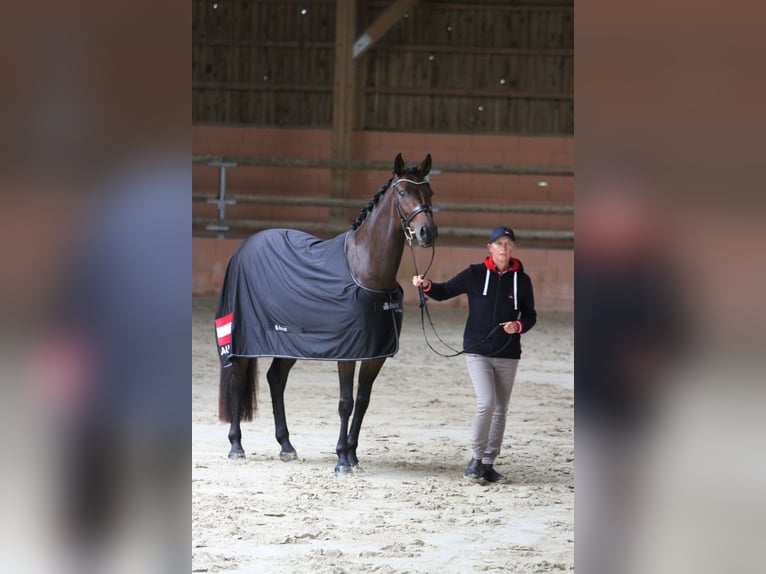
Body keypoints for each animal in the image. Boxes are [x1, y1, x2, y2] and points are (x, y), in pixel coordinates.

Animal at [216, 152, 438, 472]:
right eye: (403, 193)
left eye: (429, 192)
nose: (427, 233)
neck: (364, 270)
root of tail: (243, 248)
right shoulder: (346, 352)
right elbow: (345, 402)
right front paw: (342, 460)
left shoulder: (375, 354)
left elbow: (363, 401)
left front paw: (353, 455)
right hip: (243, 338)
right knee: (238, 377)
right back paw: (236, 445)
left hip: (289, 342)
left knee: (276, 379)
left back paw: (286, 446)